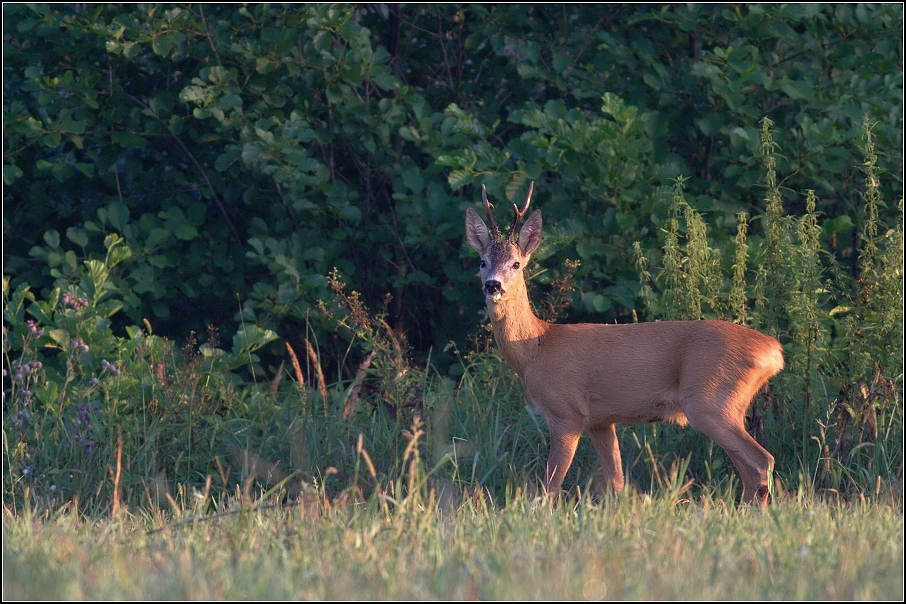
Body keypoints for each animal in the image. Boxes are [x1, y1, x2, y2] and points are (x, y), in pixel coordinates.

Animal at [462, 183, 780, 504]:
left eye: (516, 263)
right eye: (482, 262)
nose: (492, 284)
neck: (537, 347)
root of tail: (774, 350)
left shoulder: (567, 411)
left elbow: (550, 486)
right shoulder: (600, 420)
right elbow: (617, 483)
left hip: (709, 401)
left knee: (762, 460)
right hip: (729, 405)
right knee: (748, 470)